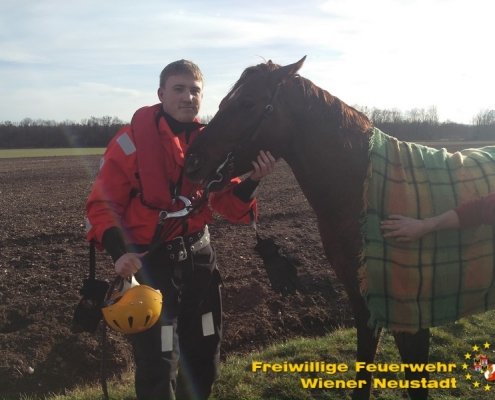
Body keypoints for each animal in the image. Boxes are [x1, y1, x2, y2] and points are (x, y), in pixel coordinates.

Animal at [184, 57, 495, 399]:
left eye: (247, 102)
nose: (191, 162)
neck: (364, 191)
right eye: (223, 102)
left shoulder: (411, 317)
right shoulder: (363, 302)